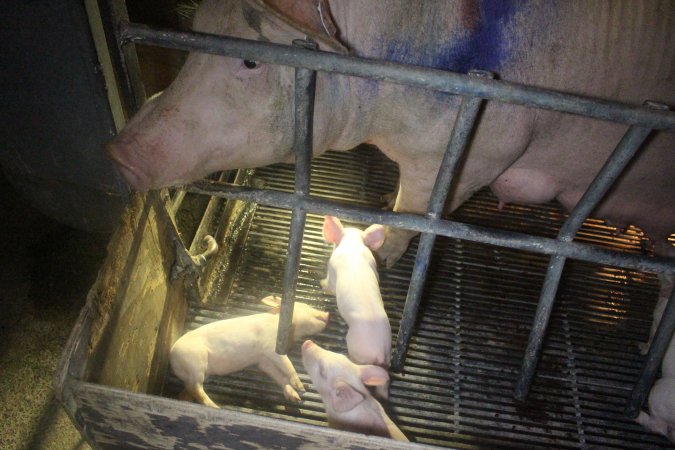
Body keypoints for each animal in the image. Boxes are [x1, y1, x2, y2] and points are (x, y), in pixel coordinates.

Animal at [107, 0, 675, 266]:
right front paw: (380, 201)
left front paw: (376, 247)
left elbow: (419, 213)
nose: (118, 152)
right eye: (198, 30)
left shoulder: (484, 145)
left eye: (250, 60)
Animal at [168, 296, 328, 408]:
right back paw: (216, 407)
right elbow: (288, 365)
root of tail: (172, 356)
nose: (328, 313)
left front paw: (298, 396)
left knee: (188, 391)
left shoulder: (263, 360)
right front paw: (301, 386)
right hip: (195, 362)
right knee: (197, 389)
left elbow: (278, 375)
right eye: (306, 305)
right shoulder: (271, 348)